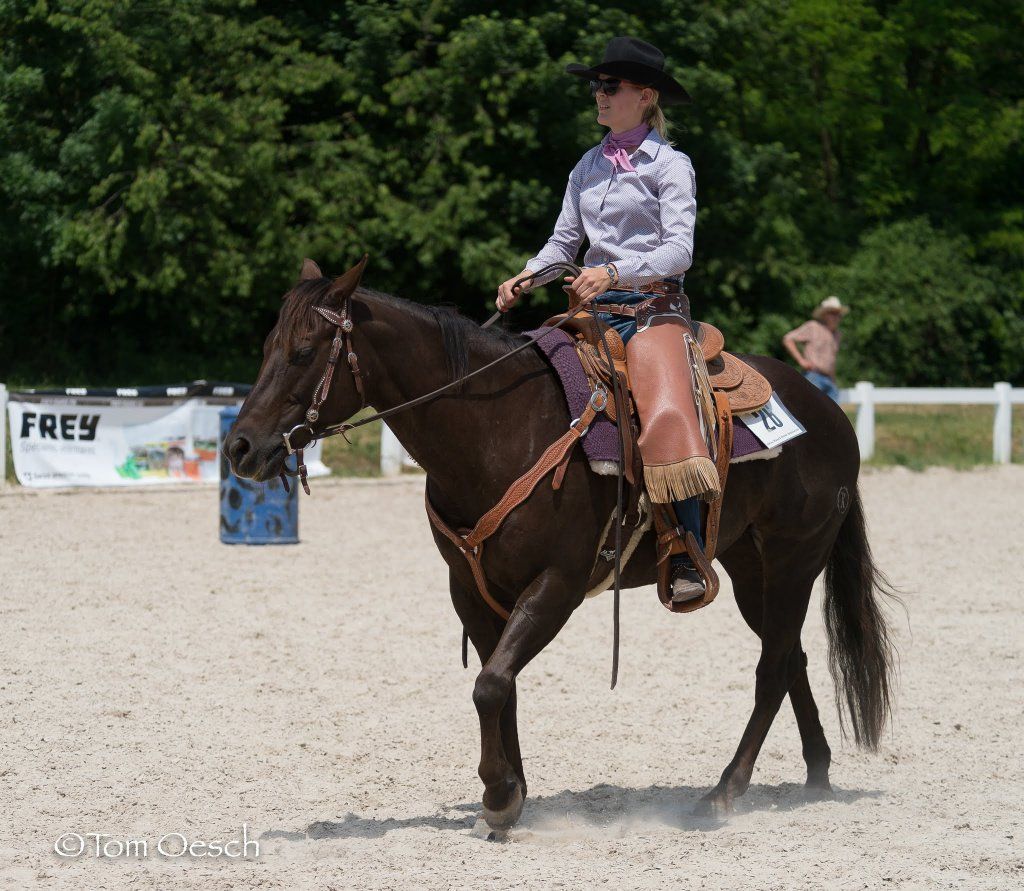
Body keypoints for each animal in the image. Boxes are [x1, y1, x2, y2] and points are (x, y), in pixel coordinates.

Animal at [225, 257, 896, 831]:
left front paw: (499, 794)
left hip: (792, 561)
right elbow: (500, 686)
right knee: (791, 657)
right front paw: (511, 790)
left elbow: (490, 684)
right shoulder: (470, 588)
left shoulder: (558, 584)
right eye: (267, 347)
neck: (496, 430)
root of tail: (828, 410)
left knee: (772, 667)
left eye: (303, 351)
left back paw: (723, 793)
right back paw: (815, 774)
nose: (239, 448)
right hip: (748, 566)